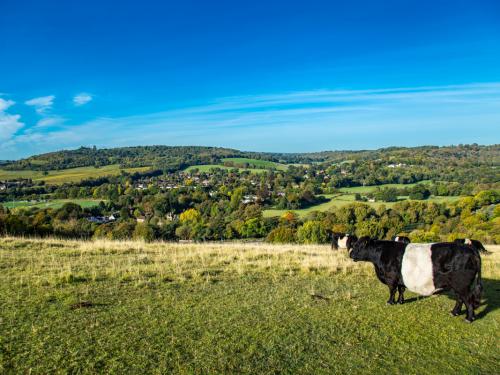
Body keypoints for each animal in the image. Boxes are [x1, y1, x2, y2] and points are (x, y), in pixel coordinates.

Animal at [350, 238, 482, 324]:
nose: (350, 254)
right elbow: (401, 289)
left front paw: (390, 302)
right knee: (460, 299)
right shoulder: (400, 278)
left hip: (462, 284)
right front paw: (400, 302)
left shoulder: (391, 278)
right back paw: (454, 312)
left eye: (358, 245)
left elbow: (392, 291)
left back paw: (468, 319)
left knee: (468, 300)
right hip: (458, 286)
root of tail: (470, 249)